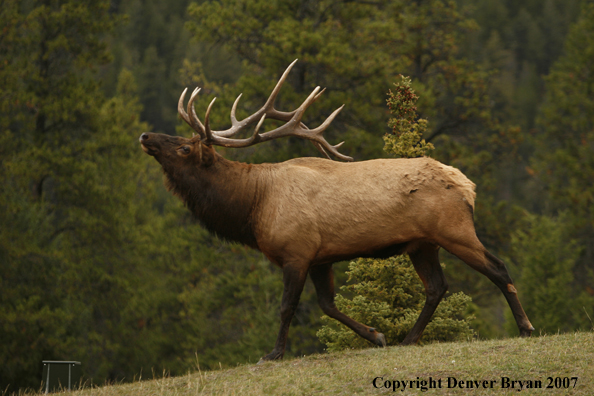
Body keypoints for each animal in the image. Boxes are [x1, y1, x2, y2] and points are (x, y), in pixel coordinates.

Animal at [139, 59, 532, 362]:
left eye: (186, 148)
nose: (145, 136)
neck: (252, 207)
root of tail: (468, 186)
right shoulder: (320, 257)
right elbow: (327, 305)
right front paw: (377, 335)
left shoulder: (296, 251)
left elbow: (288, 306)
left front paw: (273, 353)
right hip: (423, 244)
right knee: (437, 286)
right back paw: (408, 338)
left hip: (454, 230)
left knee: (497, 268)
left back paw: (525, 327)